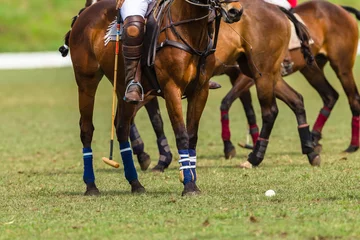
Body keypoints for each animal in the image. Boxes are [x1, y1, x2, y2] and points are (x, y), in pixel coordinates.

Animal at [67, 0, 242, 195]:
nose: (235, 11)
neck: (189, 30)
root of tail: (83, 14)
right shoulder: (171, 88)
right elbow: (181, 134)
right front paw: (188, 185)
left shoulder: (200, 90)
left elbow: (192, 136)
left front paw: (192, 180)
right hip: (86, 80)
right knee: (86, 128)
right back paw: (91, 186)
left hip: (122, 87)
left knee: (121, 127)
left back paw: (135, 183)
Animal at [219, 0, 360, 160]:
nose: (233, 13)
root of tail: (341, 8)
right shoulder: (236, 76)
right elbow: (246, 110)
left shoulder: (251, 76)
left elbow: (227, 102)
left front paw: (231, 147)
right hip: (311, 68)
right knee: (330, 95)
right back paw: (314, 139)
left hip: (342, 67)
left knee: (353, 98)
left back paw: (352, 146)